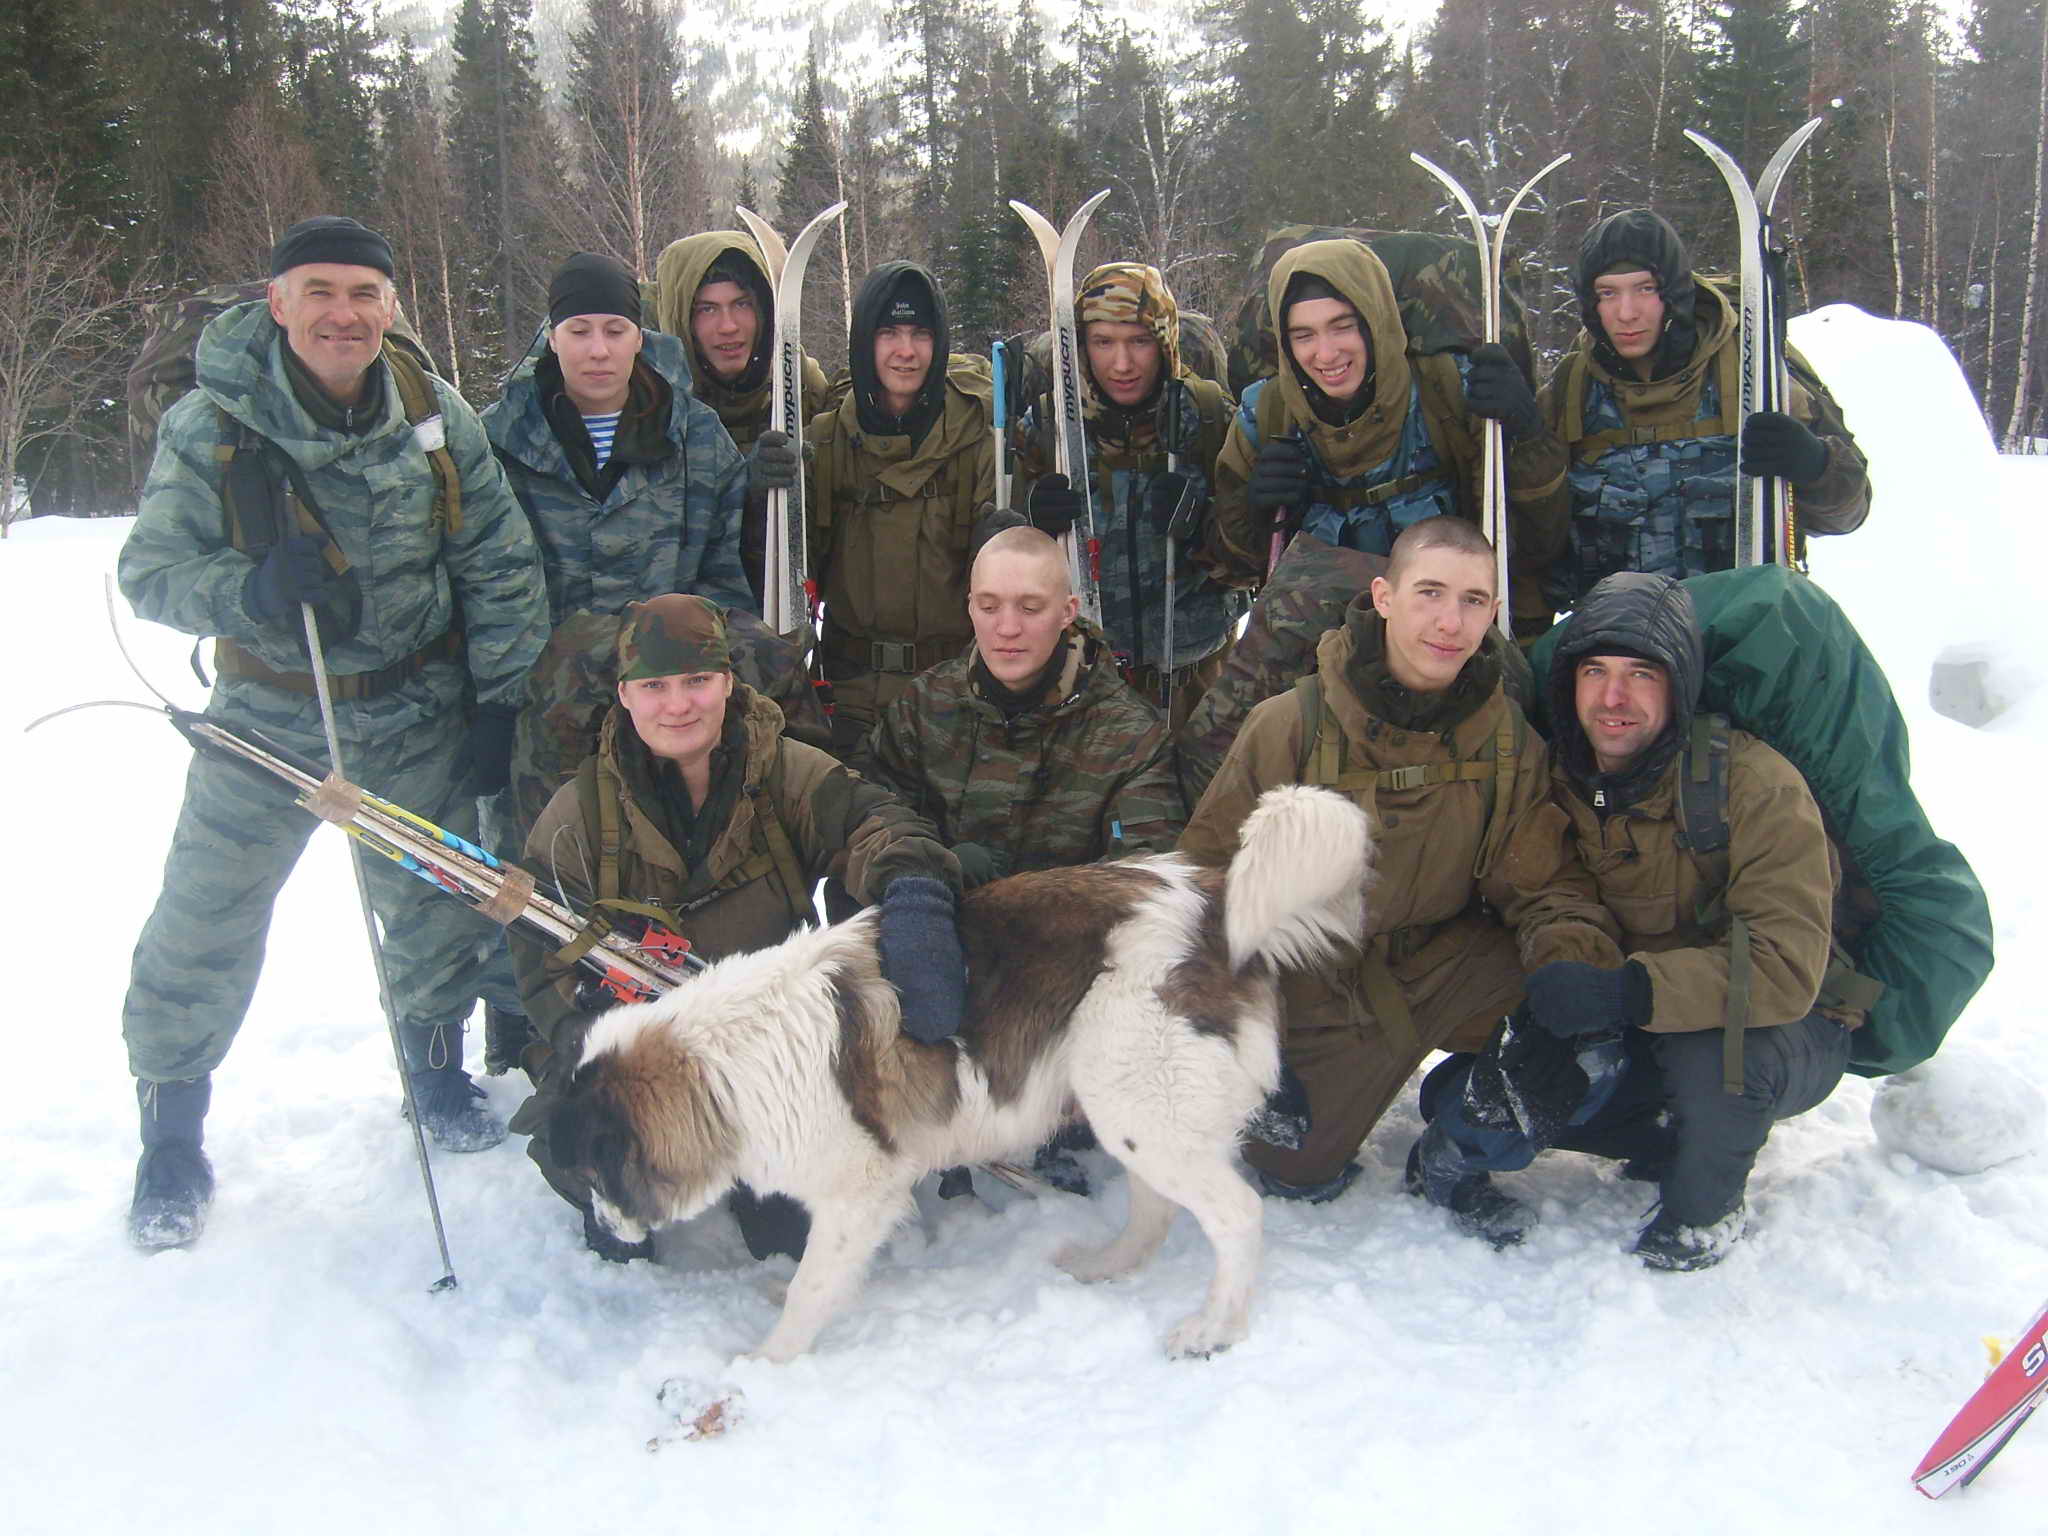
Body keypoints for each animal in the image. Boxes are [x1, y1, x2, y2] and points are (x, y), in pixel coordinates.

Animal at [548, 786, 1376, 1368]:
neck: (725, 1064)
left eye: (593, 1172)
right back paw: (1105, 1267)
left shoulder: (859, 1192)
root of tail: (1213, 903)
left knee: (1237, 1214)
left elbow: (814, 1285)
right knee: (1156, 1209)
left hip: (1139, 1099)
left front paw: (764, 1362)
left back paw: (1214, 1328)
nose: (606, 1231)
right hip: (1132, 1108)